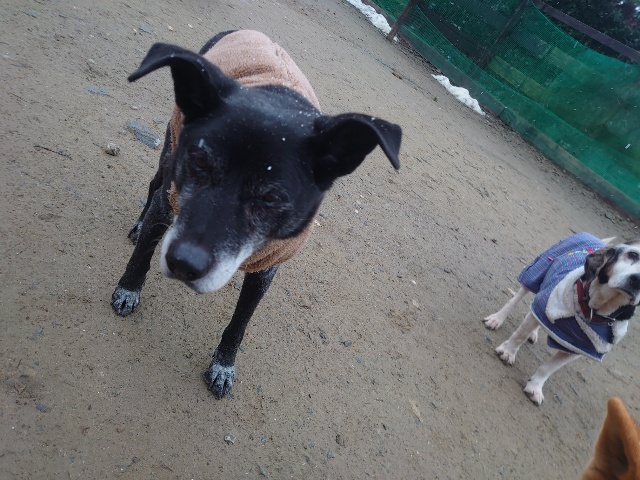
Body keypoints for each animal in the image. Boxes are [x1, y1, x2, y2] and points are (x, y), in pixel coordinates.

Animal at [110, 30, 402, 398]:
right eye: (200, 160)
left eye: (271, 197)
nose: (183, 265)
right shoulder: (169, 202)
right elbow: (142, 256)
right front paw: (128, 290)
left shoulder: (267, 268)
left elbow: (240, 322)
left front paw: (223, 364)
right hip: (168, 154)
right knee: (153, 187)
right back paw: (138, 225)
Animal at [483, 233, 640, 405]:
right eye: (633, 254)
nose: (637, 280)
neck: (593, 308)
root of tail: (591, 236)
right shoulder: (542, 305)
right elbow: (520, 336)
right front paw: (508, 352)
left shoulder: (577, 349)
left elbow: (549, 368)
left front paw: (535, 387)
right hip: (538, 272)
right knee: (516, 300)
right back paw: (497, 318)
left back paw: (534, 332)